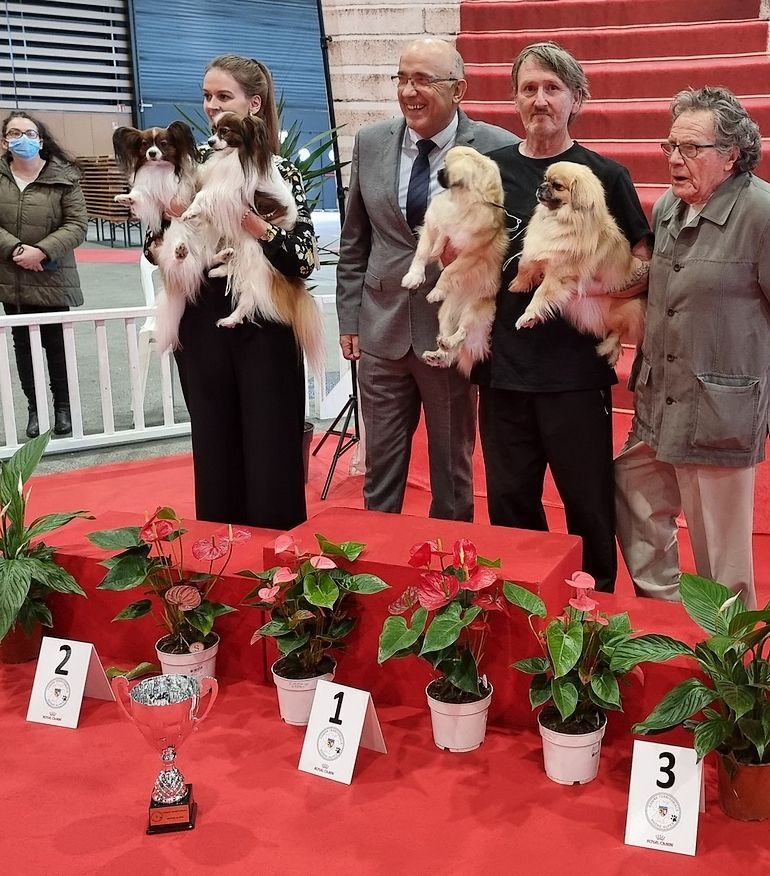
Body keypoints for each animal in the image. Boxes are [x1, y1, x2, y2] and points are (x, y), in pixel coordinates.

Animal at [401, 145, 508, 376]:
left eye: (447, 167)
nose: (439, 172)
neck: (460, 202)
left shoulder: (472, 254)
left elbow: (450, 271)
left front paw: (436, 291)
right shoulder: (432, 228)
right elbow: (422, 254)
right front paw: (414, 276)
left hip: (473, 311)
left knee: (462, 334)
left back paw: (449, 342)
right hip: (445, 314)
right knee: (450, 347)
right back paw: (438, 353)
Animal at [509, 161, 648, 366]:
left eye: (557, 186)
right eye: (545, 179)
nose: (541, 187)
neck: (558, 218)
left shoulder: (558, 274)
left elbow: (541, 295)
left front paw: (529, 316)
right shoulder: (539, 249)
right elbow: (525, 264)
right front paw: (518, 284)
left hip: (626, 310)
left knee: (619, 331)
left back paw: (609, 348)